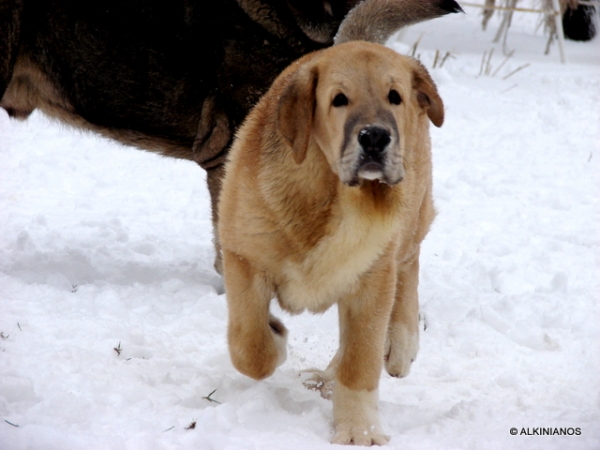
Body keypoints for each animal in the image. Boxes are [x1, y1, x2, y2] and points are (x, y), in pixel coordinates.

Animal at [218, 41, 442, 446]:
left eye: (394, 96)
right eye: (339, 99)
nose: (375, 137)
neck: (337, 193)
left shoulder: (372, 278)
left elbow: (360, 361)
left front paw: (358, 431)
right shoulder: (244, 257)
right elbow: (250, 347)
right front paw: (274, 336)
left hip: (411, 215)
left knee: (409, 263)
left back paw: (400, 344)